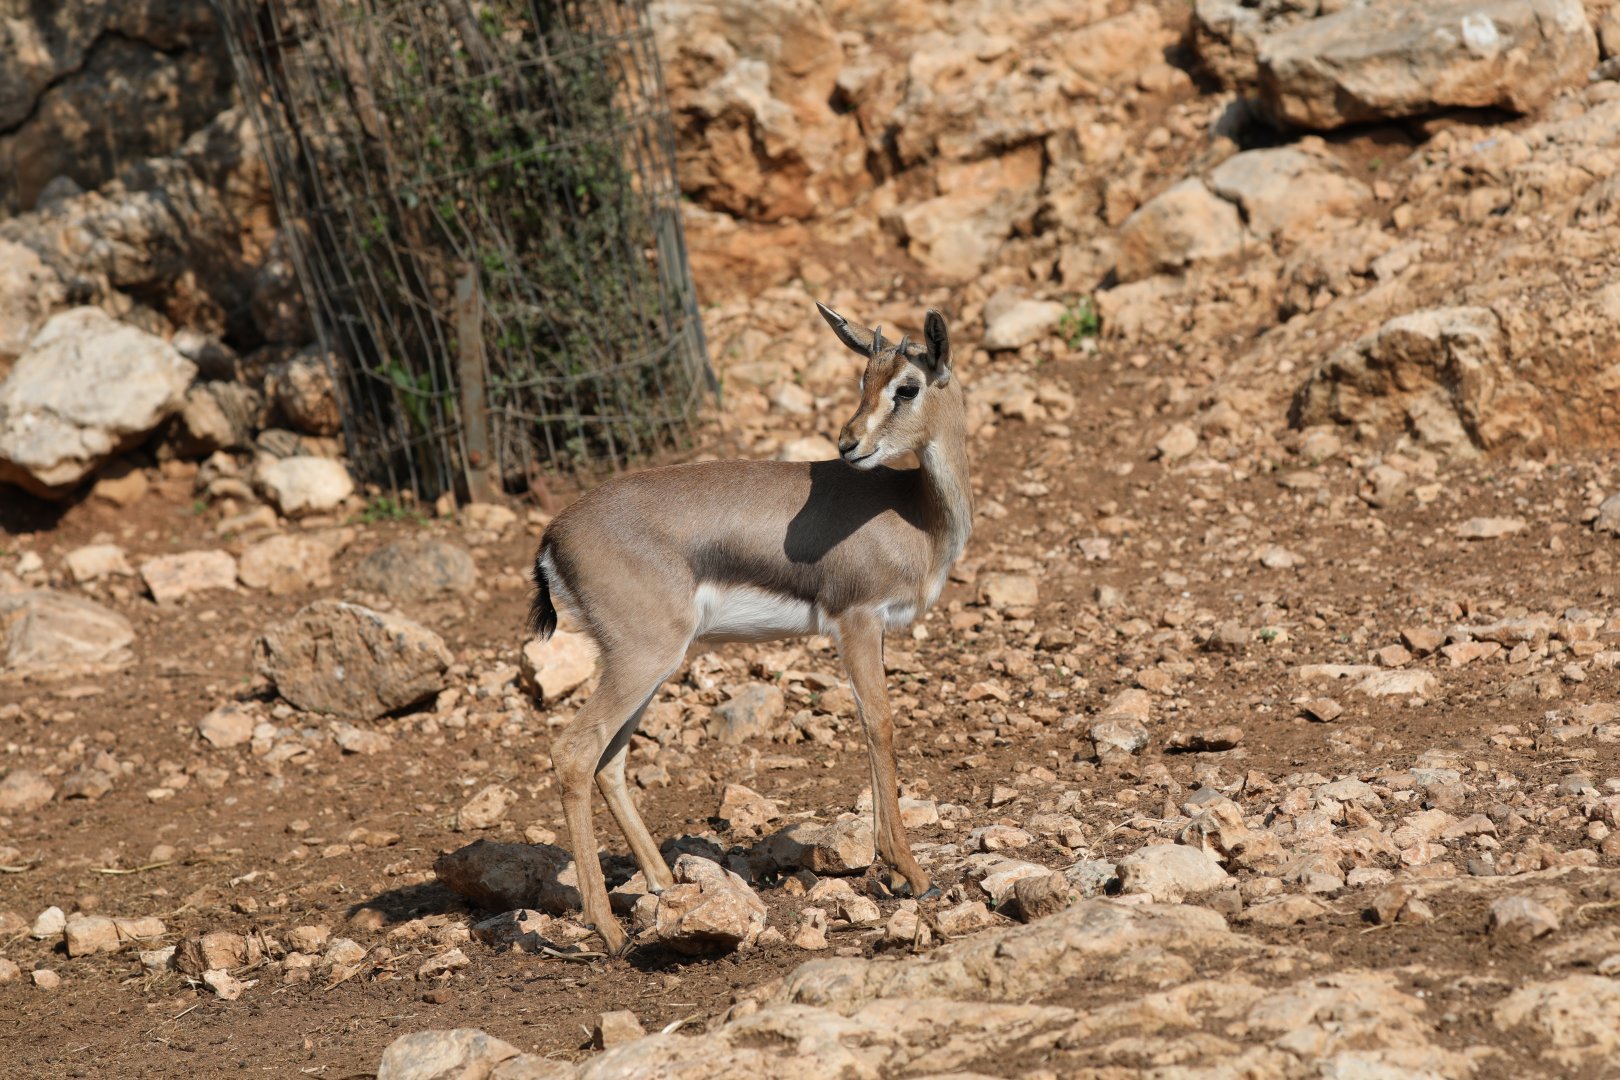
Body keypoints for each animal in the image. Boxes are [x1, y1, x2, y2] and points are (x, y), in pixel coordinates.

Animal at [528, 302, 971, 955]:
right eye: (866, 380)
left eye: (904, 386)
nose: (849, 444)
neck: (915, 512)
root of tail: (554, 534)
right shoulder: (857, 622)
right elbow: (880, 726)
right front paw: (912, 874)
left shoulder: (874, 630)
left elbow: (873, 729)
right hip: (642, 659)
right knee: (575, 752)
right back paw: (607, 928)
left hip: (650, 664)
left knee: (609, 760)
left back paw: (664, 885)